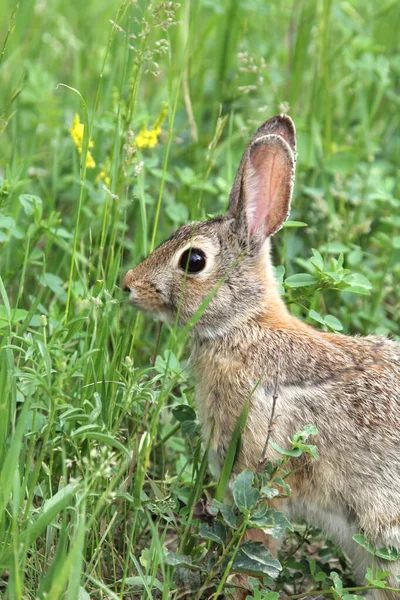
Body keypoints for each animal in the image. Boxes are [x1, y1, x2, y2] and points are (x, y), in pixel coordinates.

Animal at [122, 115, 400, 596]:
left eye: (193, 261)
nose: (128, 285)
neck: (242, 327)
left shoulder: (261, 471)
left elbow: (255, 539)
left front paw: (234, 585)